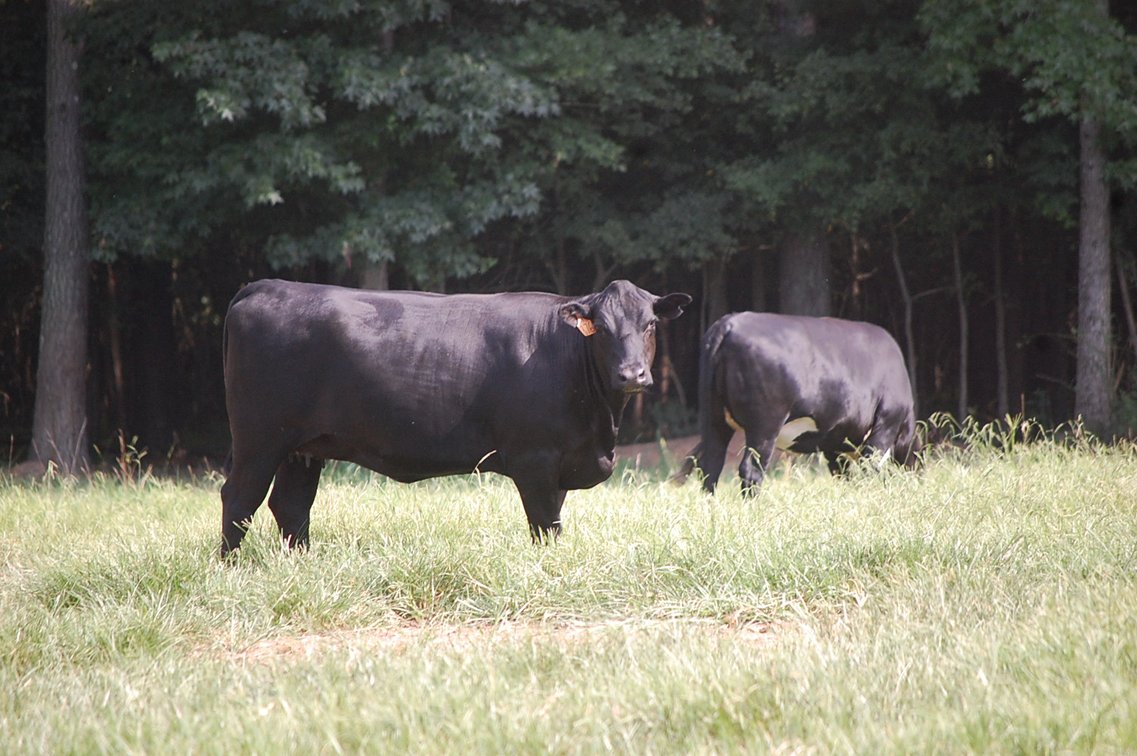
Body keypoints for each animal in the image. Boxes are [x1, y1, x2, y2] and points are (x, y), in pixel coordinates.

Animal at [219, 278, 691, 555]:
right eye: (603, 329)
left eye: (650, 324)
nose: (632, 374)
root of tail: (265, 286)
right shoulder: (534, 459)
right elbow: (545, 525)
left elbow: (554, 519)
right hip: (259, 439)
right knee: (239, 499)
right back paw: (233, 567)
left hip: (302, 446)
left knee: (291, 505)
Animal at [676, 312, 919, 494]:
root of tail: (728, 324)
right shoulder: (886, 423)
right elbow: (871, 466)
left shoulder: (834, 439)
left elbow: (843, 474)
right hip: (765, 425)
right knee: (751, 470)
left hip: (713, 418)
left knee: (711, 467)